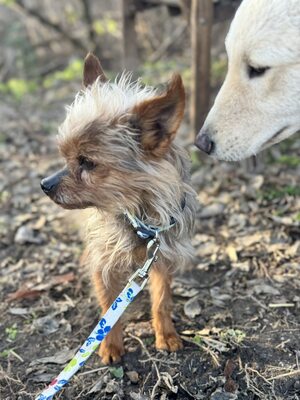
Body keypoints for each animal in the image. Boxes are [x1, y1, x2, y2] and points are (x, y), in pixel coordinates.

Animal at [41, 54, 197, 366]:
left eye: (87, 162)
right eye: (65, 157)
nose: (45, 184)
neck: (140, 216)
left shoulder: (161, 258)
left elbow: (162, 300)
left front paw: (166, 334)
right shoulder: (103, 263)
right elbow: (107, 309)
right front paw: (110, 344)